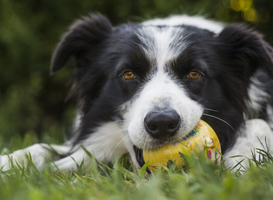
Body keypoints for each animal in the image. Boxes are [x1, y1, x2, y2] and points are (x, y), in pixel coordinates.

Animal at [0, 14, 272, 171]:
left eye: (195, 74)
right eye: (128, 74)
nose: (162, 124)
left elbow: (257, 124)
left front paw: (240, 159)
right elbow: (43, 148)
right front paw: (9, 162)